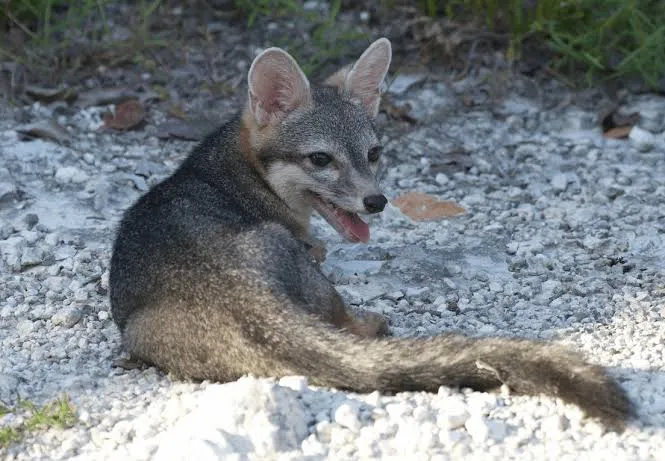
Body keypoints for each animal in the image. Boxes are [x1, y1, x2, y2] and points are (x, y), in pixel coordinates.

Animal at [109, 38, 634, 431]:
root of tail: (242, 296)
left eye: (374, 153)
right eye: (321, 159)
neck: (235, 172)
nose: (376, 201)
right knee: (344, 322)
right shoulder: (310, 247)